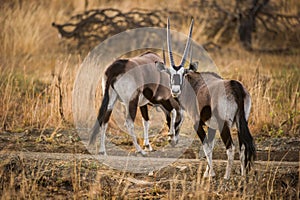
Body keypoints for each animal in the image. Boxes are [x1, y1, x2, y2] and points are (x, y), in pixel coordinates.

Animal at [157, 18, 255, 180]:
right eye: (170, 74)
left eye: (183, 73)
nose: (175, 91)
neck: (194, 84)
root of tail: (235, 87)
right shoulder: (212, 126)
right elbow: (211, 145)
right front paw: (207, 173)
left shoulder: (198, 123)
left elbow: (206, 147)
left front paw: (211, 174)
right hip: (242, 121)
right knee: (242, 146)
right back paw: (242, 175)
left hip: (224, 124)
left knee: (231, 147)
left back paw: (226, 176)